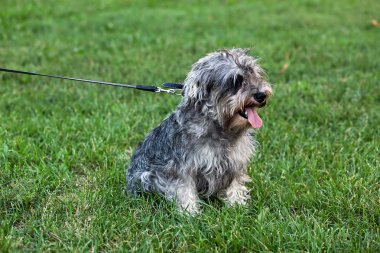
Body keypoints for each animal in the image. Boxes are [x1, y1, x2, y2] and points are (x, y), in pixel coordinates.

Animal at [126, 49, 272, 213]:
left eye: (255, 74)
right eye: (235, 81)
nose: (261, 95)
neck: (221, 126)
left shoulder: (235, 163)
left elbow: (235, 185)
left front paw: (237, 205)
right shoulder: (181, 168)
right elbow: (184, 190)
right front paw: (189, 212)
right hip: (145, 177)